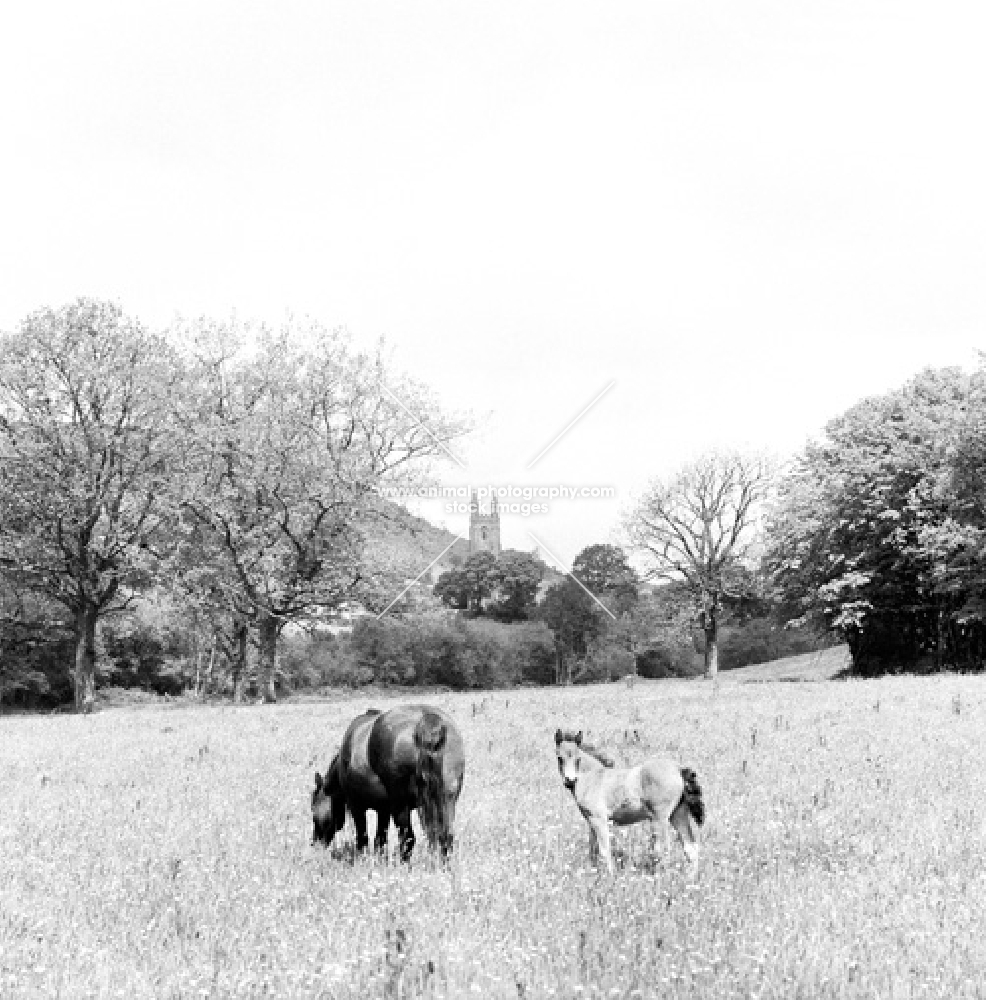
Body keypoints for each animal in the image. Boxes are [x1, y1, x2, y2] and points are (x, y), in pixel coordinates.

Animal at [312, 708, 466, 864]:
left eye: (313, 811)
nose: (314, 843)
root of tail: (427, 719)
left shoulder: (357, 806)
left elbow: (363, 838)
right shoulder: (383, 810)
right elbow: (380, 839)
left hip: (400, 806)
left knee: (408, 838)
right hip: (447, 800)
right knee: (445, 836)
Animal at [548, 728, 704, 876]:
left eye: (578, 759)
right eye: (559, 758)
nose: (570, 780)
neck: (592, 778)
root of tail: (678, 769)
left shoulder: (599, 819)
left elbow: (604, 851)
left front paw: (609, 877)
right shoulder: (590, 821)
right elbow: (592, 851)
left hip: (660, 818)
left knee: (664, 849)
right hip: (678, 815)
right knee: (690, 848)